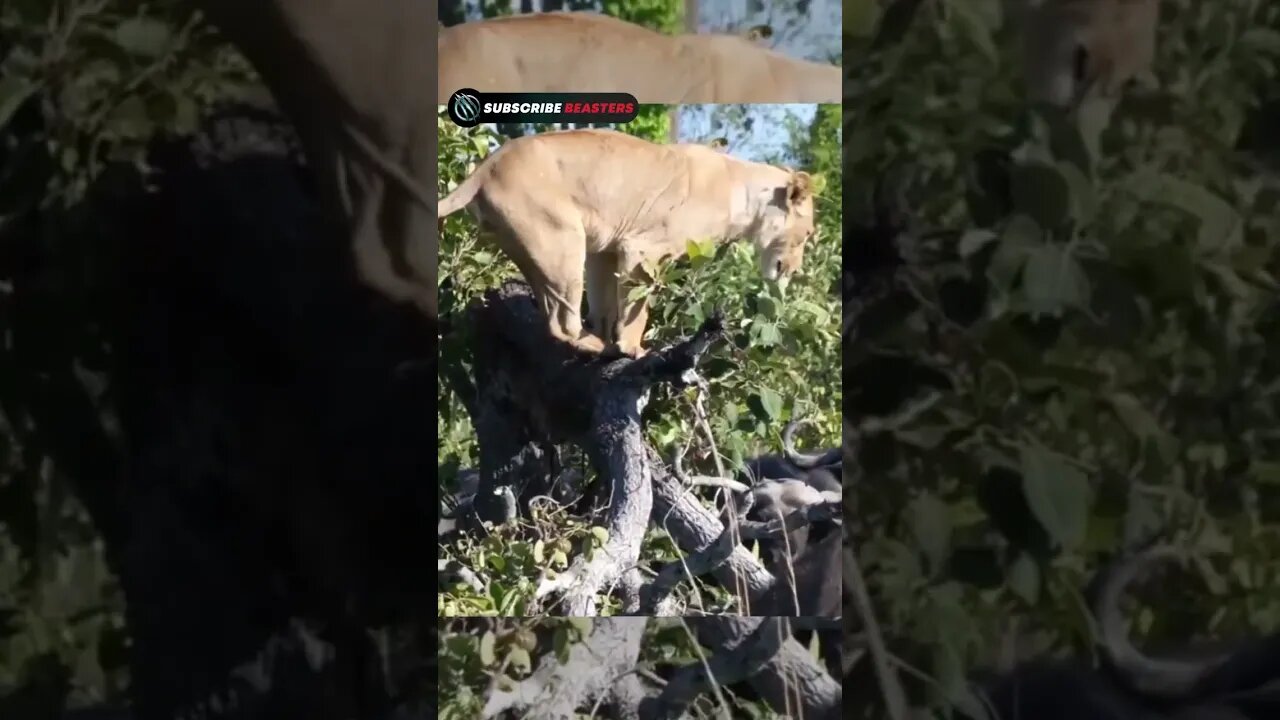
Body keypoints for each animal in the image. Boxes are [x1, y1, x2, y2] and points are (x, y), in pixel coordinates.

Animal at [436, 129, 819, 357]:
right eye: (807, 234)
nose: (796, 270)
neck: (746, 195)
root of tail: (486, 167)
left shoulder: (606, 249)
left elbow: (605, 300)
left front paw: (610, 334)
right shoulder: (641, 249)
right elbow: (638, 306)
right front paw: (632, 348)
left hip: (537, 246)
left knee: (550, 308)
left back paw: (597, 342)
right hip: (562, 237)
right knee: (560, 321)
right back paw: (595, 345)